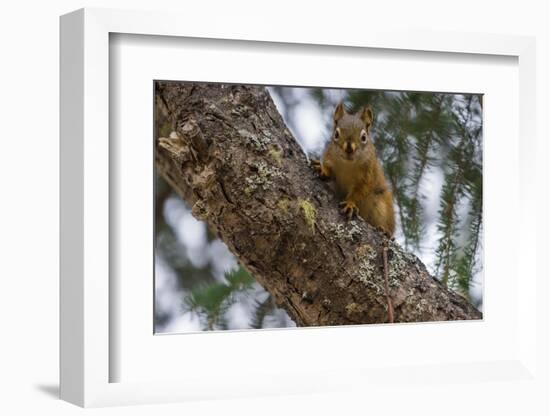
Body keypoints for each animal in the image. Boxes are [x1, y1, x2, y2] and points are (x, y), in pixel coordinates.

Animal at [312, 102, 394, 236]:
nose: (349, 148)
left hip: (382, 206)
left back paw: (385, 230)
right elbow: (329, 170)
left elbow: (359, 191)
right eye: (336, 134)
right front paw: (323, 169)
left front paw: (350, 204)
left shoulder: (368, 174)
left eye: (364, 137)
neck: (348, 165)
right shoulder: (330, 157)